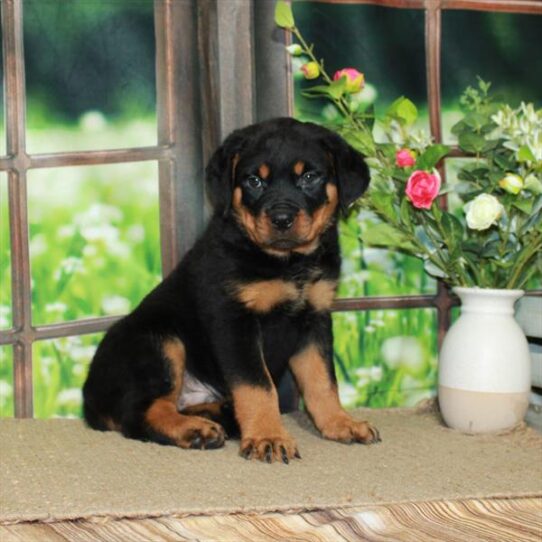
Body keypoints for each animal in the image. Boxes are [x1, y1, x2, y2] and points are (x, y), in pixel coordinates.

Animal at [84, 118, 382, 464]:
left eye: (309, 177)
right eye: (254, 181)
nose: (281, 218)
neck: (287, 262)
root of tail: (88, 399)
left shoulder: (315, 318)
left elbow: (322, 381)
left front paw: (340, 423)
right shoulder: (233, 320)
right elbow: (257, 385)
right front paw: (269, 437)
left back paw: (219, 416)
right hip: (158, 339)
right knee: (139, 414)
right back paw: (195, 430)